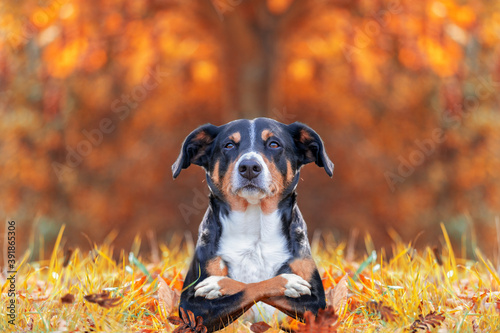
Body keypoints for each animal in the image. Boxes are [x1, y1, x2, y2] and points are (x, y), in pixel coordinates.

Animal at [171, 116, 332, 330]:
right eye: (229, 145)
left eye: (274, 144)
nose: (249, 167)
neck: (255, 230)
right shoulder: (190, 307)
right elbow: (248, 288)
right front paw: (218, 284)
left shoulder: (317, 304)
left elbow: (257, 286)